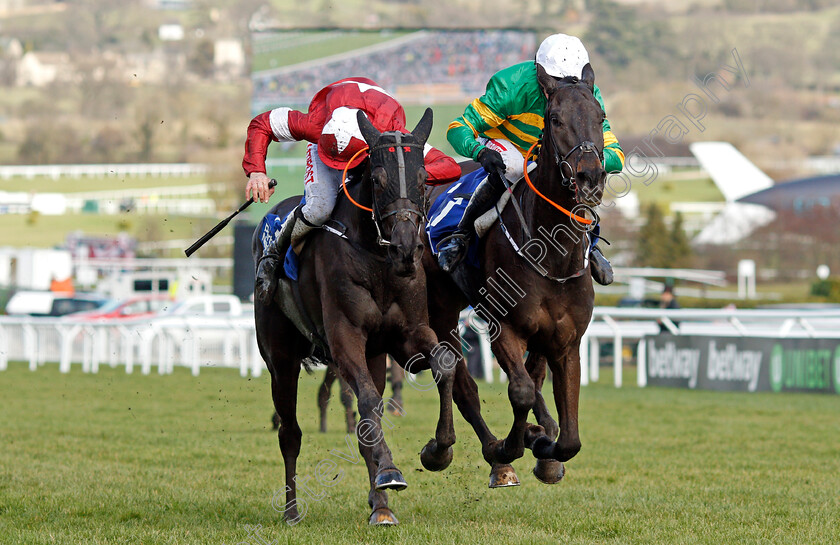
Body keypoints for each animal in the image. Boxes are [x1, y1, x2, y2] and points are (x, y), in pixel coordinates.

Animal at [253, 109, 456, 524]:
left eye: (423, 177)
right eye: (377, 179)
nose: (407, 249)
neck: (377, 260)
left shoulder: (407, 335)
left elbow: (443, 363)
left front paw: (437, 452)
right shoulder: (344, 340)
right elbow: (365, 401)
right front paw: (391, 470)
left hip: (374, 356)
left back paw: (381, 506)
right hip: (280, 361)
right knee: (290, 433)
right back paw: (292, 511)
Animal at [424, 62, 608, 484]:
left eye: (600, 117)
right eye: (555, 119)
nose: (590, 177)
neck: (553, 257)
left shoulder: (566, 341)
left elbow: (569, 436)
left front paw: (545, 446)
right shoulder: (503, 327)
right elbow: (520, 391)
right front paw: (511, 445)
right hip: (440, 307)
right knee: (457, 379)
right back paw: (452, 450)